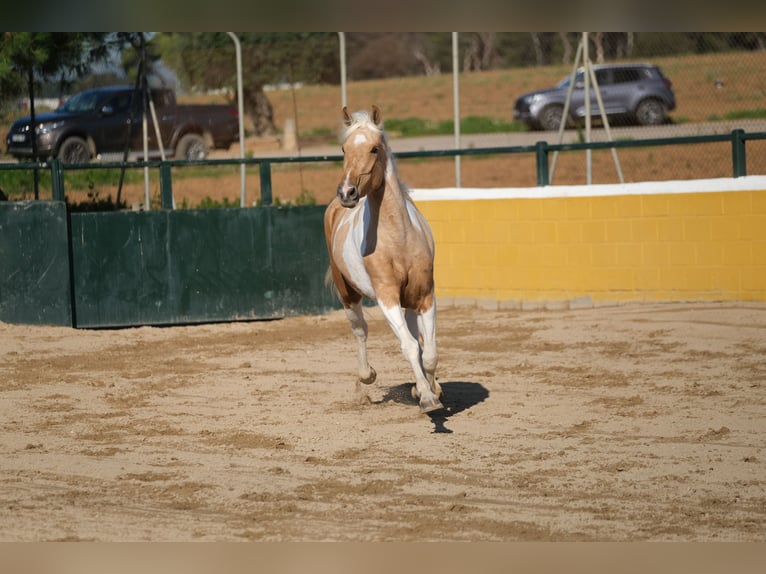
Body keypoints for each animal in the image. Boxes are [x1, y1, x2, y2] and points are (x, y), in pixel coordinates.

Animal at [322, 107, 444, 414]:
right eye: (343, 149)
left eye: (374, 148)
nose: (347, 193)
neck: (398, 239)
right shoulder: (386, 297)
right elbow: (409, 346)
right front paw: (427, 398)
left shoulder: (425, 295)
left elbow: (429, 351)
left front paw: (432, 390)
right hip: (349, 295)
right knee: (360, 331)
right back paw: (367, 376)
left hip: (408, 301)